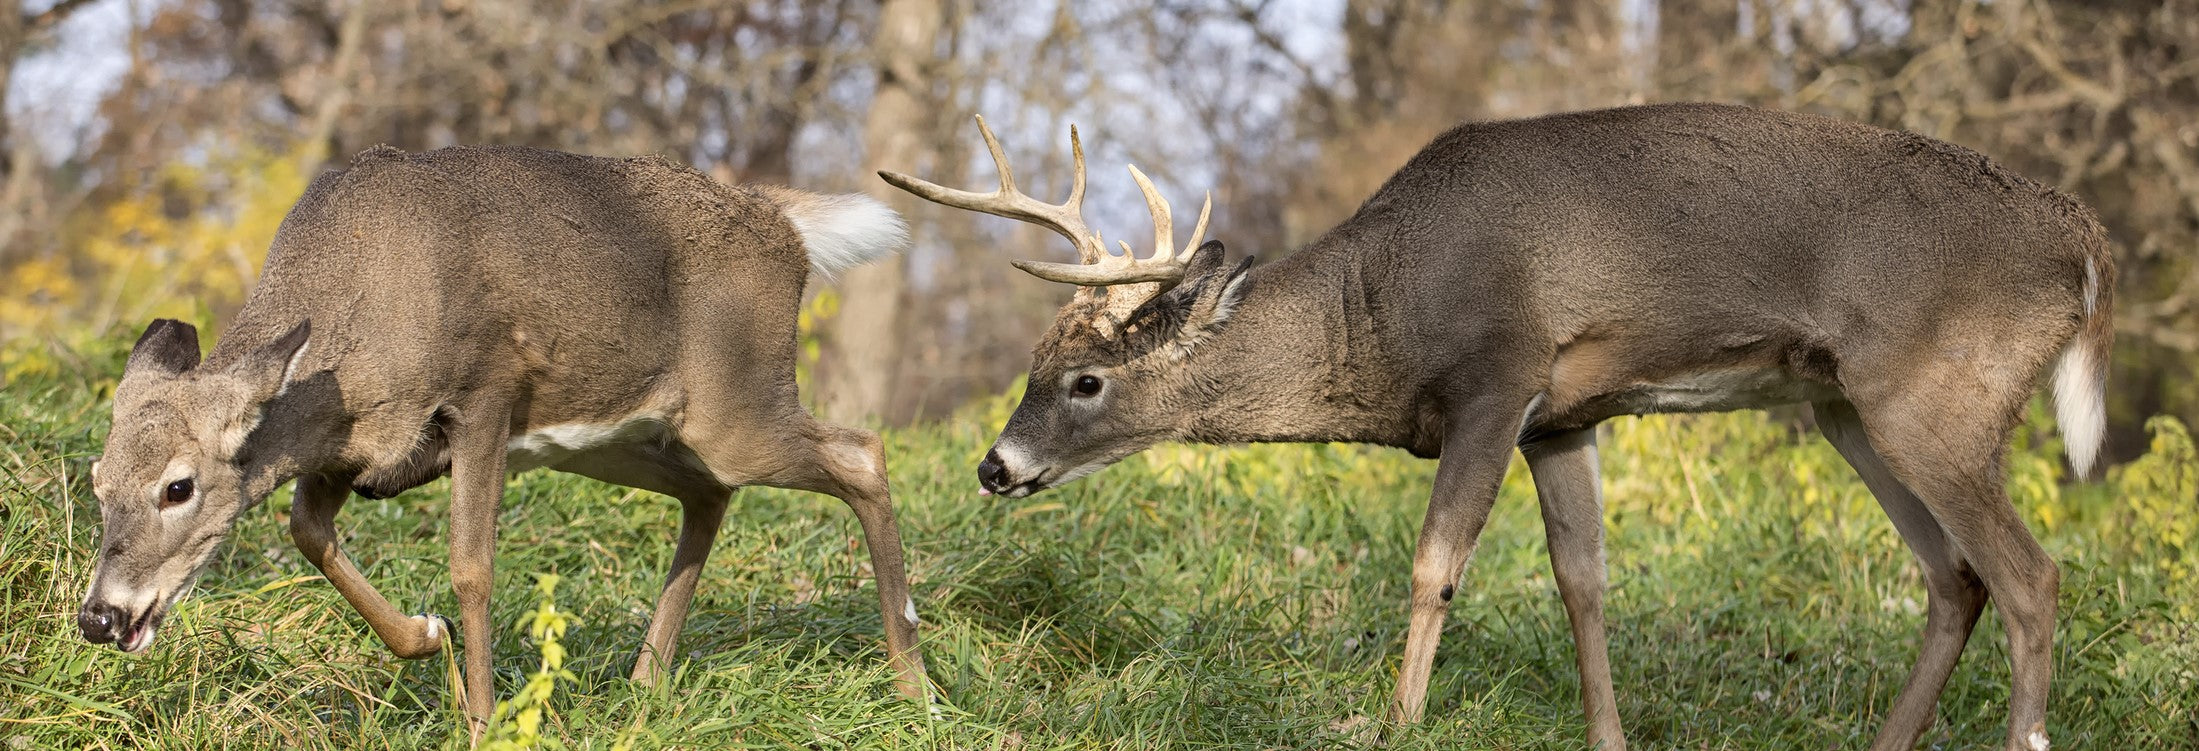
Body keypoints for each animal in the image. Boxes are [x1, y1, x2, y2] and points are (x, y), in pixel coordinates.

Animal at [75, 144, 927, 733]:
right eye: (97, 481)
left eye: (178, 485)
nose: (98, 617)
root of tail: (786, 226)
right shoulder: (353, 447)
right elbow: (308, 532)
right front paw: (429, 638)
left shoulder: (483, 392)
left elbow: (472, 567)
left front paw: (483, 719)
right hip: (619, 435)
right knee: (709, 491)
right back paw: (644, 684)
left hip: (736, 405)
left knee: (860, 452)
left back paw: (913, 686)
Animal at [888, 104, 2111, 751]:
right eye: (1033, 366)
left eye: (1084, 380)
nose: (993, 466)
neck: (1382, 311)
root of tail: (2085, 241)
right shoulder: (1562, 419)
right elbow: (1584, 580)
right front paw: (1608, 737)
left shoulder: (1496, 377)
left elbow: (1435, 565)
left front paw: (1393, 724)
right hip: (1844, 403)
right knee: (1956, 577)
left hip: (1933, 390)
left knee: (2031, 573)